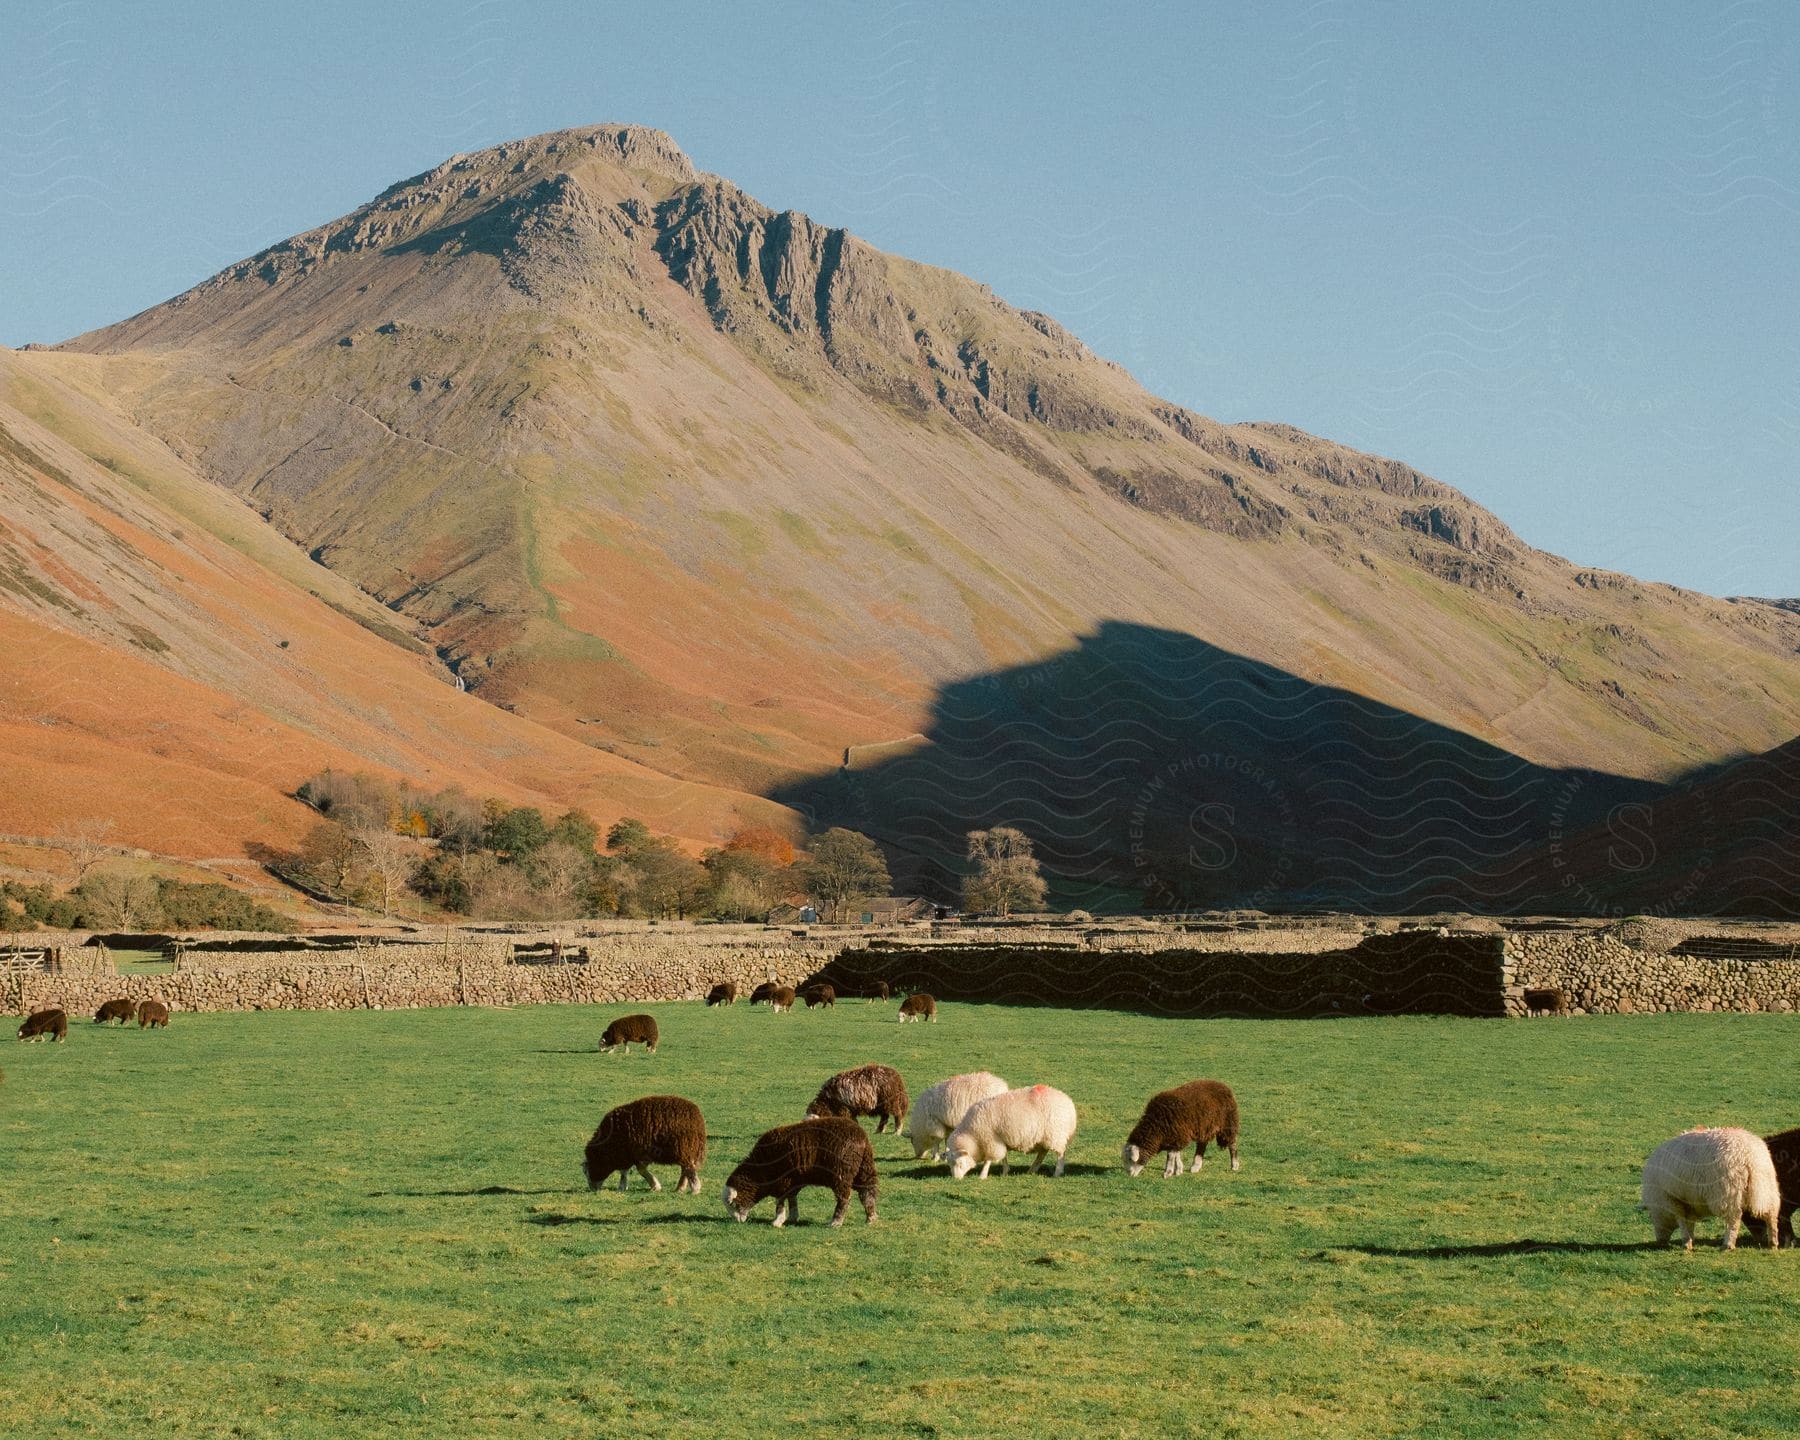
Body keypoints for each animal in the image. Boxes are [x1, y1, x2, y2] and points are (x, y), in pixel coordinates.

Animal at [723, 1116, 878, 1224]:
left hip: (841, 1174)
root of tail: (862, 1138)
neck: (760, 1171)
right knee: (868, 1192)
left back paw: (836, 1222)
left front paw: (777, 1221)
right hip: (865, 1169)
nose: (738, 1222)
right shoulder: (794, 1181)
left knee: (844, 1198)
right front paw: (792, 1217)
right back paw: (871, 1218)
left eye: (732, 1203)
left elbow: (780, 1201)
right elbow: (792, 1199)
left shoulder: (782, 1181)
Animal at [1641, 1123, 1778, 1245]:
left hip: (1728, 1192)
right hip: (1767, 1187)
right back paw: (1773, 1242)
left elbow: (1682, 1222)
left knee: (1733, 1218)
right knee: (1771, 1214)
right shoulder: (1689, 1201)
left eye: (1650, 1216)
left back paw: (1728, 1244)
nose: (1660, 1242)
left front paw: (1686, 1242)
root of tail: (1748, 1155)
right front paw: (1690, 1240)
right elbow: (1689, 1223)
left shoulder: (1673, 1201)